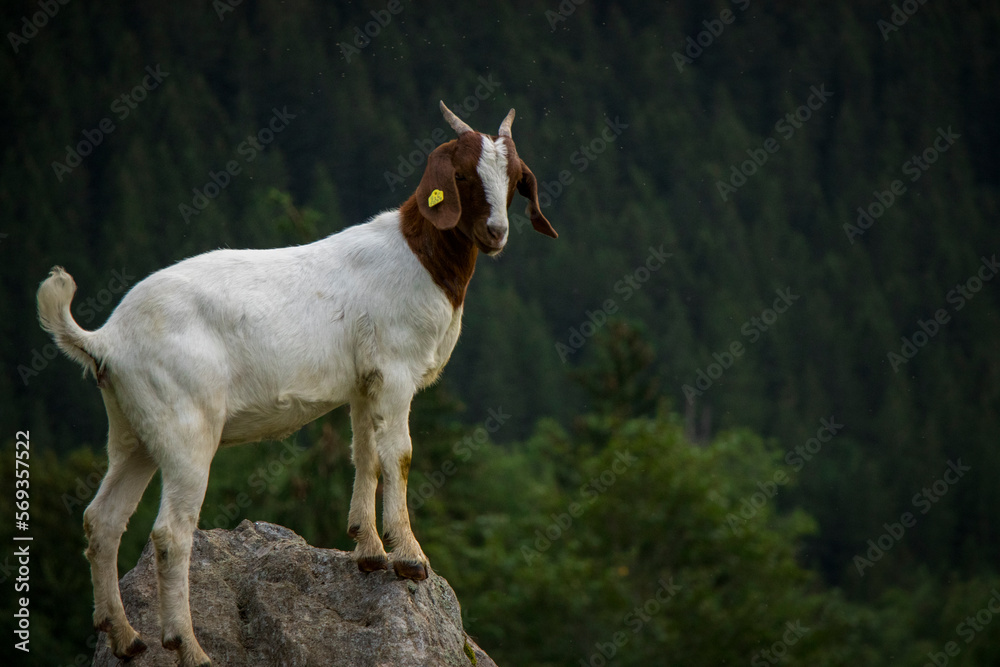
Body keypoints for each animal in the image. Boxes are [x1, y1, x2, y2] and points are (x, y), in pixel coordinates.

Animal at [37, 101, 557, 667]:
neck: (419, 260)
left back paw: (126, 637)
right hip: (184, 427)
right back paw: (188, 647)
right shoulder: (395, 370)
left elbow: (365, 454)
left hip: (133, 432)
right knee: (171, 534)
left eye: (515, 178)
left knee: (102, 519)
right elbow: (398, 455)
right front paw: (409, 559)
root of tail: (106, 338)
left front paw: (368, 551)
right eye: (461, 175)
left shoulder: (364, 383)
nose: (496, 233)